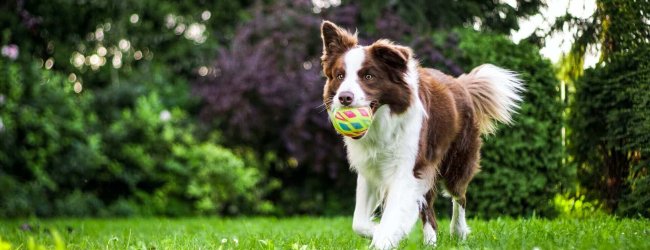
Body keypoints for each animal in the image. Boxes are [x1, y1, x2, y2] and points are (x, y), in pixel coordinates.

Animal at [316, 20, 524, 249]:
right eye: (340, 76)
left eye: (369, 76)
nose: (344, 98)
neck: (382, 124)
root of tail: (461, 84)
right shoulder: (370, 168)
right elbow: (359, 223)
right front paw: (381, 231)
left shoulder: (408, 168)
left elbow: (393, 214)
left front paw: (385, 238)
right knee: (429, 207)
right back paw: (431, 241)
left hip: (457, 160)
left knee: (459, 196)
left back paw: (458, 232)